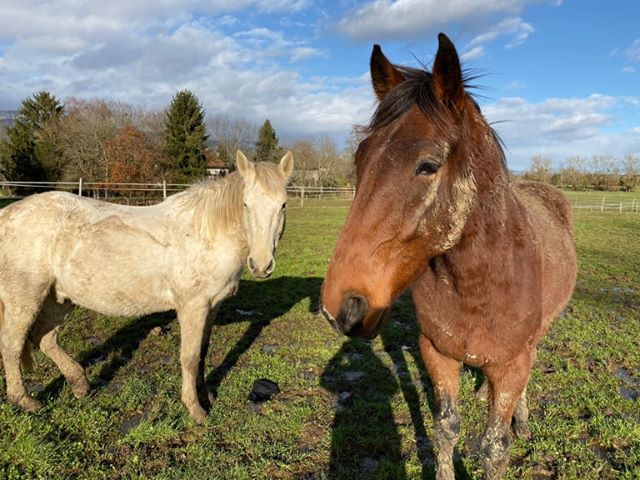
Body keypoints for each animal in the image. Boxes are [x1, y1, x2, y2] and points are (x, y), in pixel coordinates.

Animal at [0, 152, 296, 422]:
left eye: (283, 205)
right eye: (246, 204)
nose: (261, 265)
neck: (206, 234)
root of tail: (7, 214)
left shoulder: (212, 307)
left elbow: (202, 352)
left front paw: (207, 395)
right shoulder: (192, 307)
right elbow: (189, 357)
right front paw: (195, 409)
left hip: (58, 298)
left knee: (45, 338)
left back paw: (80, 384)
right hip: (24, 298)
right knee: (12, 345)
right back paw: (25, 401)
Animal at [322, 34, 576, 480]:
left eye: (428, 165)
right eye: (359, 159)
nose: (340, 306)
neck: (477, 284)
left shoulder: (512, 364)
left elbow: (494, 448)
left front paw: (512, 426)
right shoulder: (437, 354)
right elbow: (445, 429)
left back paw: (523, 419)